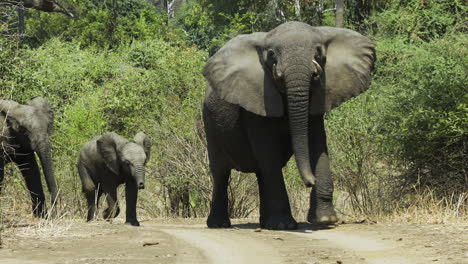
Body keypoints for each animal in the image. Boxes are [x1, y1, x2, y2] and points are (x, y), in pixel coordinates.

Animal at [203, 21, 374, 230]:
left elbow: (317, 142)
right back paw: (219, 224)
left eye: (319, 52)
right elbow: (267, 148)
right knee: (221, 171)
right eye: (271, 55)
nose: (310, 181)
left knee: (261, 172)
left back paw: (265, 223)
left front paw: (325, 220)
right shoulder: (258, 97)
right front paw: (284, 225)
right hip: (209, 124)